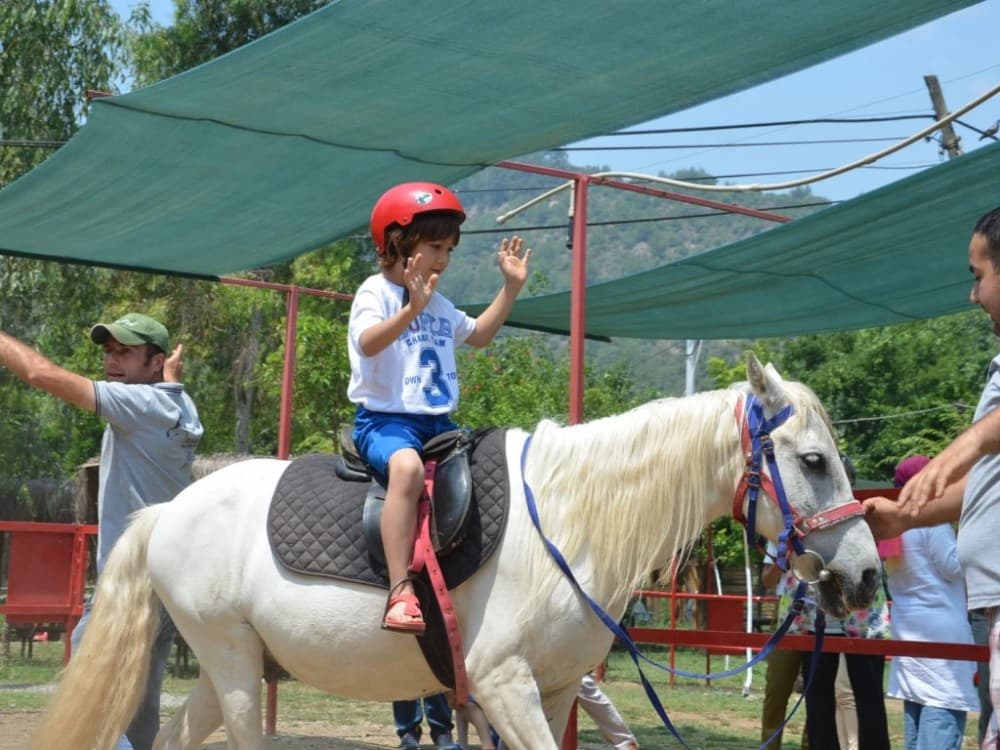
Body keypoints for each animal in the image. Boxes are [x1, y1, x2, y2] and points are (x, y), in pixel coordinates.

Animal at [30, 353, 880, 750]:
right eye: (813, 461)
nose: (867, 574)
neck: (567, 523)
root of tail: (168, 511)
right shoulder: (504, 686)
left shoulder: (555, 690)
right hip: (234, 667)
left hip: (224, 668)